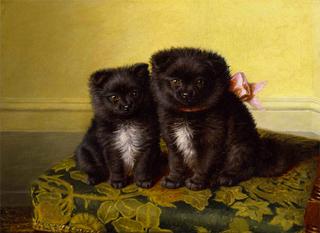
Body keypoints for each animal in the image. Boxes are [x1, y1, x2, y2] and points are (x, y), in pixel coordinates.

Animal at [151, 46, 320, 190]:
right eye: (175, 81)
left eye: (200, 82)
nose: (187, 94)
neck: (188, 113)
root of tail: (259, 157)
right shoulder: (172, 140)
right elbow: (175, 162)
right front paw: (174, 179)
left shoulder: (211, 140)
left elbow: (203, 164)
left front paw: (196, 182)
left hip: (239, 147)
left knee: (246, 169)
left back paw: (225, 177)